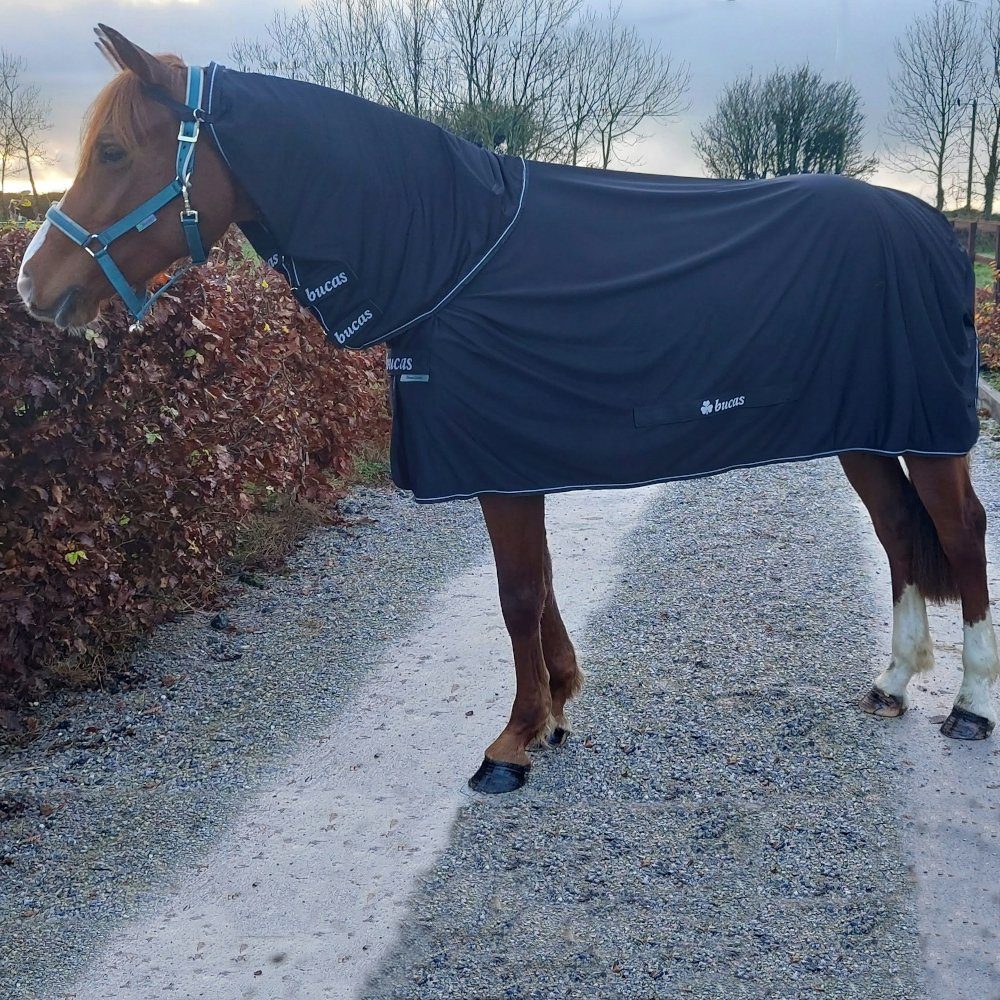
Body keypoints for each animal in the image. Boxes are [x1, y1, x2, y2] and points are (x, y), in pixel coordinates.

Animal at [17, 26, 999, 795]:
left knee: (960, 531)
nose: (32, 285)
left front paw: (514, 741)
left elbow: (519, 593)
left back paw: (970, 704)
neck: (454, 256)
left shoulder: (497, 461)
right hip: (867, 431)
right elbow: (543, 586)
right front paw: (557, 706)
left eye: (114, 153)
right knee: (899, 533)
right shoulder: (515, 458)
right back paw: (891, 684)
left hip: (930, 435)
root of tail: (937, 231)